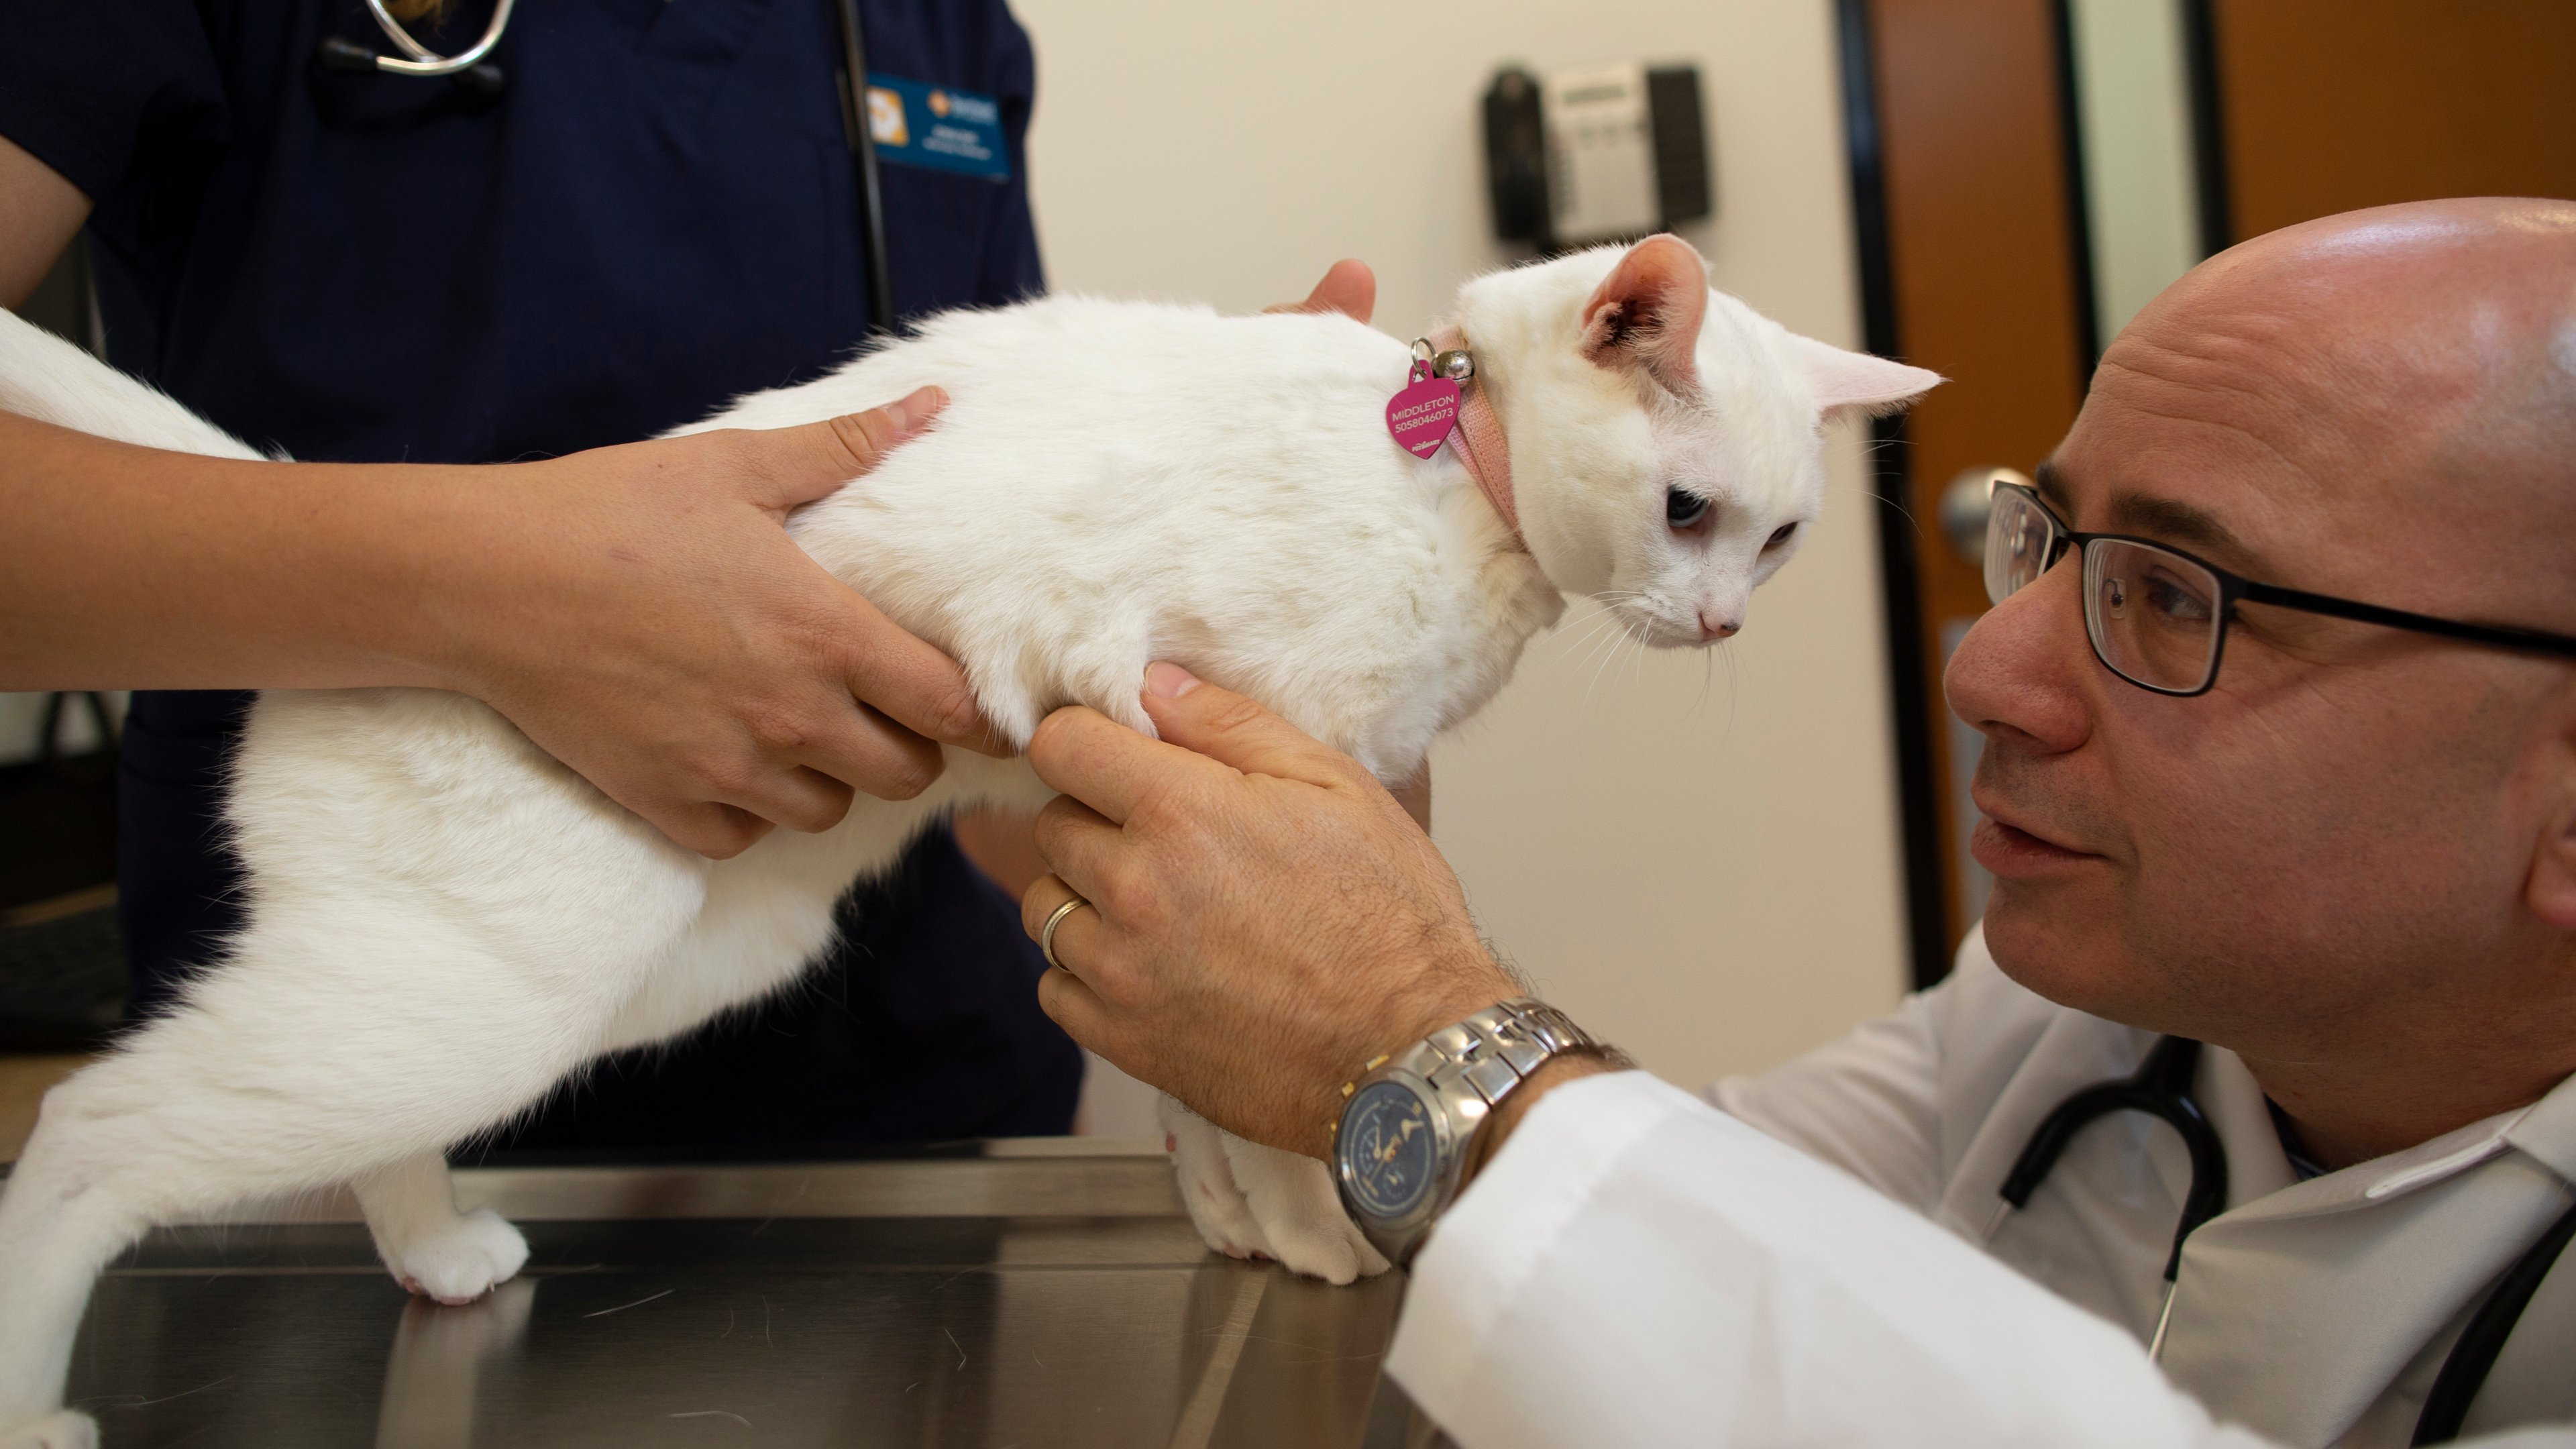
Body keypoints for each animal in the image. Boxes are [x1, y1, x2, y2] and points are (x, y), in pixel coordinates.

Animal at [0, 230, 1927, 1433]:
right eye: (1689, 513)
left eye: (1779, 541)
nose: (1720, 624)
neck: (1458, 467)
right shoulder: (1257, 751)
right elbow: (1275, 1098)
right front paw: (1305, 1229)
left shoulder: (1116, 803)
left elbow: (1194, 1079)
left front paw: (1237, 1227)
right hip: (487, 992)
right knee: (90, 1136)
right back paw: (36, 1402)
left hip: (639, 967)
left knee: (370, 1144)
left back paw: (445, 1262)